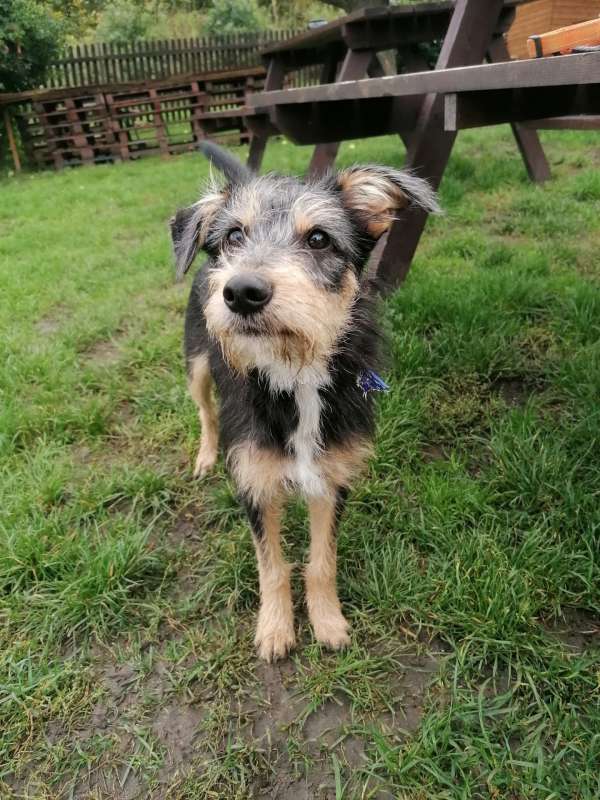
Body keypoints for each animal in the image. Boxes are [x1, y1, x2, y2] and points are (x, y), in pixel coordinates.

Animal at [171, 142, 439, 661]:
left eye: (319, 238)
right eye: (234, 236)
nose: (241, 292)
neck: (295, 375)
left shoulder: (332, 478)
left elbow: (321, 561)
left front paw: (328, 622)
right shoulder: (253, 481)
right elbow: (272, 566)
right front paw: (276, 629)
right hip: (196, 362)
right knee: (206, 412)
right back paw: (206, 455)